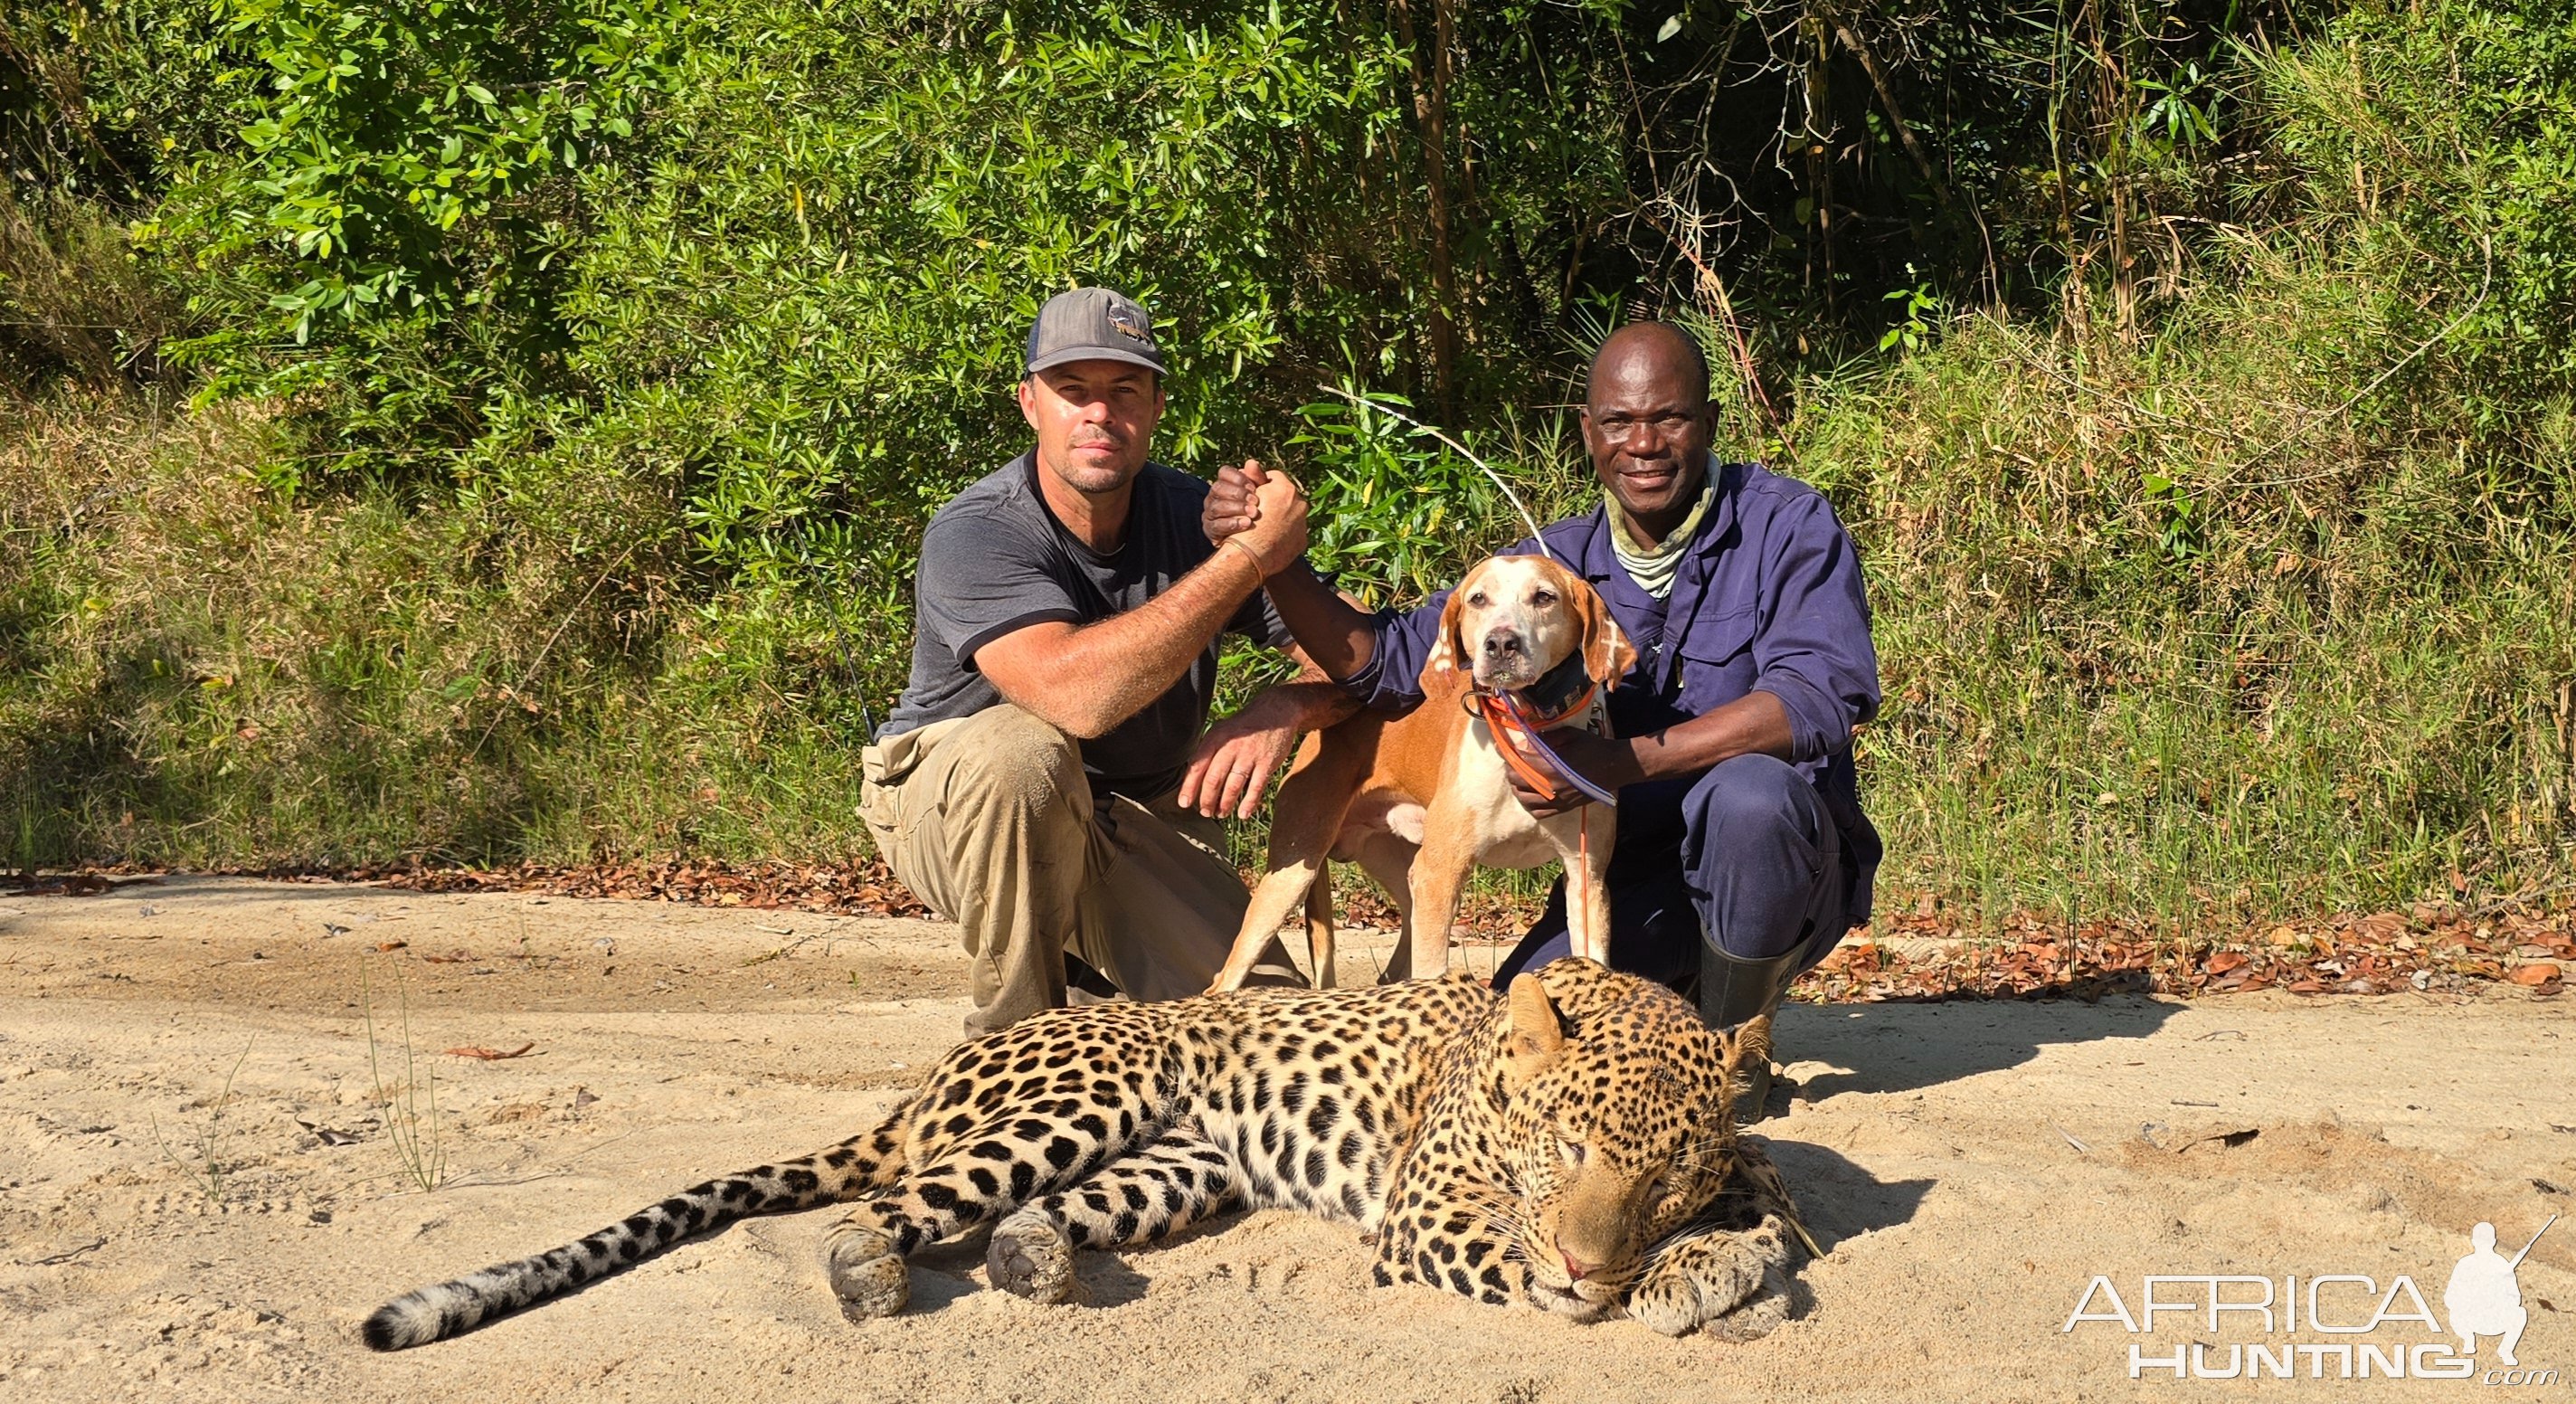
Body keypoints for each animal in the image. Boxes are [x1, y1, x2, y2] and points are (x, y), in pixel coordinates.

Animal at [363, 953, 1803, 1350]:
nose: (1586, 1257)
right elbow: (1560, 1278)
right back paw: (870, 1278)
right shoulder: (1433, 1213)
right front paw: (1675, 1287)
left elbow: (1774, 1201)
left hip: (1182, 1160)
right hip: (1091, 1095)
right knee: (885, 1210)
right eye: (1564, 1146)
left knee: (1009, 1223)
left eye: (1662, 1175)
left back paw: (1038, 1266)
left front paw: (1718, 1256)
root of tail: (928, 1075)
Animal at [1200, 554, 1627, 989]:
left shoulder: (1586, 879)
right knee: (1225, 978)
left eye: (1544, 597)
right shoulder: (1441, 874)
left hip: (1402, 874)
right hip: (1295, 874)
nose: (1500, 643)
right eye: (1478, 599)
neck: (1527, 729)